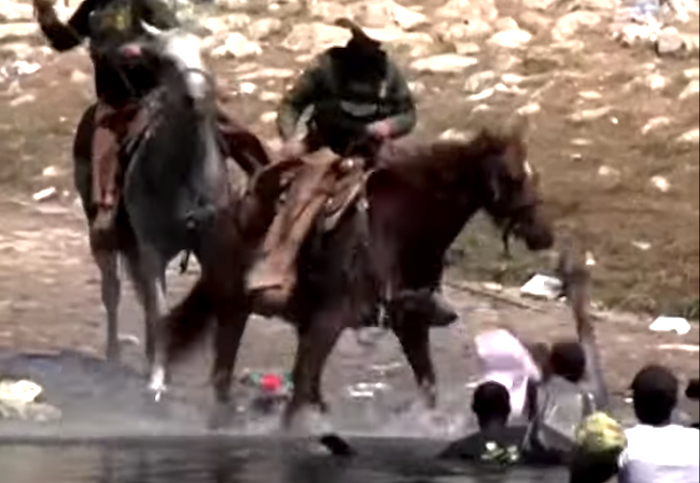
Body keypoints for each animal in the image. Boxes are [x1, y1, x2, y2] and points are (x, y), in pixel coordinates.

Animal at [72, 24, 237, 388]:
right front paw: (157, 381)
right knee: (114, 292)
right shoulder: (151, 249)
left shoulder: (209, 246)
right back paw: (116, 358)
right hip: (104, 239)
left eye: (202, 51)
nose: (198, 96)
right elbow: (158, 309)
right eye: (166, 59)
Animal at [154, 115, 555, 428]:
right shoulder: (330, 322)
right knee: (224, 375)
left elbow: (427, 384)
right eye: (513, 177)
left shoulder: (409, 322)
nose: (544, 234)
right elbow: (299, 393)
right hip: (233, 308)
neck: (399, 229)